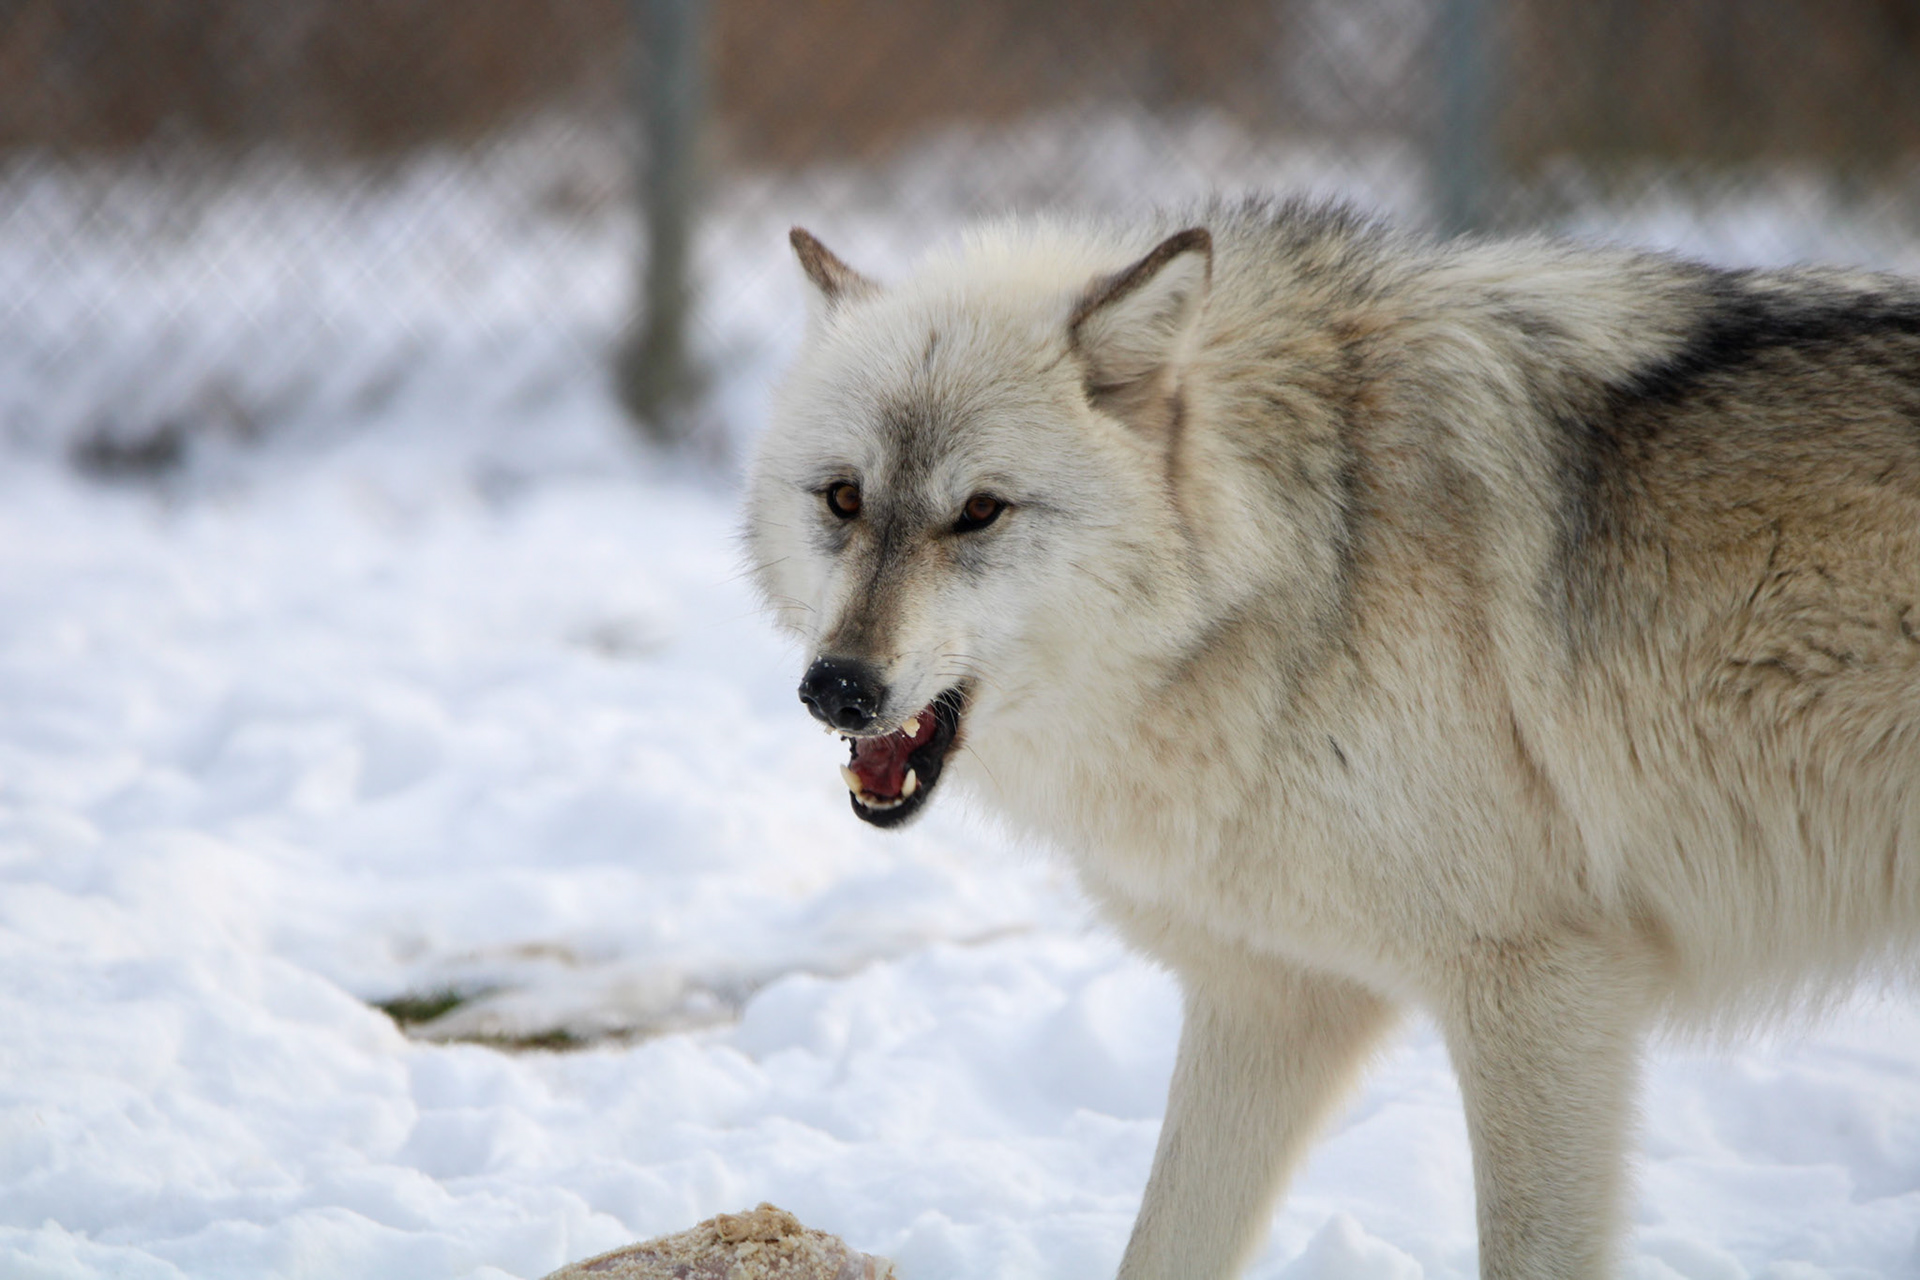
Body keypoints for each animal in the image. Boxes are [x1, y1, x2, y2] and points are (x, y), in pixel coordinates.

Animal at [744, 198, 1920, 1279]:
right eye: (843, 498)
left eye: (980, 511)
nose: (837, 688)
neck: (1306, 562)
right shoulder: (1271, 1000)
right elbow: (1161, 1248)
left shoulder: (1544, 987)